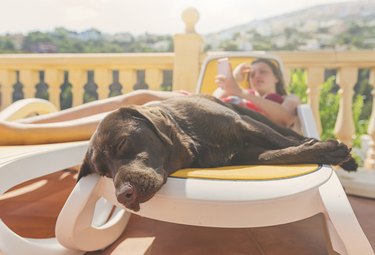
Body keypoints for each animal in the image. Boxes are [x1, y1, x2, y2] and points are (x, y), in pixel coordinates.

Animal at [78, 94, 356, 210]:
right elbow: (279, 154)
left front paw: (326, 150)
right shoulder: (248, 153)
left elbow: (280, 143)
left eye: (122, 143)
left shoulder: (245, 125)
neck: (195, 141)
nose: (122, 196)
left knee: (288, 134)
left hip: (255, 116)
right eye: (104, 172)